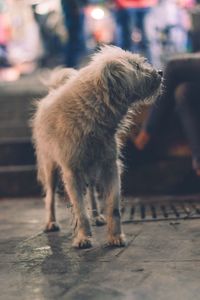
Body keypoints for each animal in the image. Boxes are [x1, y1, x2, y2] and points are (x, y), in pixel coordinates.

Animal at [31, 45, 162, 248]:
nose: (160, 72)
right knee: (50, 196)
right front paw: (83, 237)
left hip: (92, 166)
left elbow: (113, 206)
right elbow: (79, 209)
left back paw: (97, 216)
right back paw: (51, 222)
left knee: (92, 191)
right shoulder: (72, 172)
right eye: (136, 67)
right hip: (50, 165)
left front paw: (116, 236)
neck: (91, 109)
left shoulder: (110, 166)